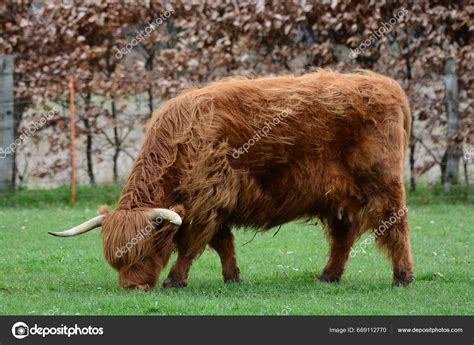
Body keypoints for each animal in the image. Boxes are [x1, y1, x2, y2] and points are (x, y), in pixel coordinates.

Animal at [50, 70, 414, 290]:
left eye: (148, 249)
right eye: (117, 260)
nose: (133, 288)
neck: (181, 141)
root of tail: (388, 85)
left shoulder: (206, 201)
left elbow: (192, 245)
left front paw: (174, 280)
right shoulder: (215, 202)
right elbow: (223, 243)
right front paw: (232, 278)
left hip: (384, 185)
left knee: (395, 227)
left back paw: (402, 277)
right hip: (339, 198)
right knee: (343, 237)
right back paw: (328, 276)